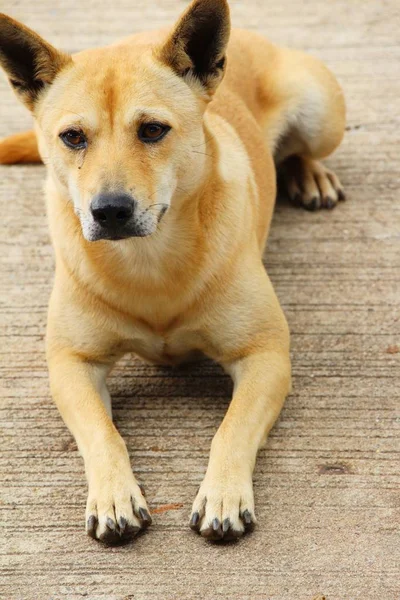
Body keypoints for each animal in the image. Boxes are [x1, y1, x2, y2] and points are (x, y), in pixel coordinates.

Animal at [0, 0, 344, 544]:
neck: (150, 259)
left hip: (322, 112)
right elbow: (102, 434)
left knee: (300, 148)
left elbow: (231, 428)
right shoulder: (71, 364)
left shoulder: (266, 357)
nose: (110, 210)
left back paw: (310, 174)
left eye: (153, 130)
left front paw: (223, 495)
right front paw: (114, 495)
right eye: (73, 137)